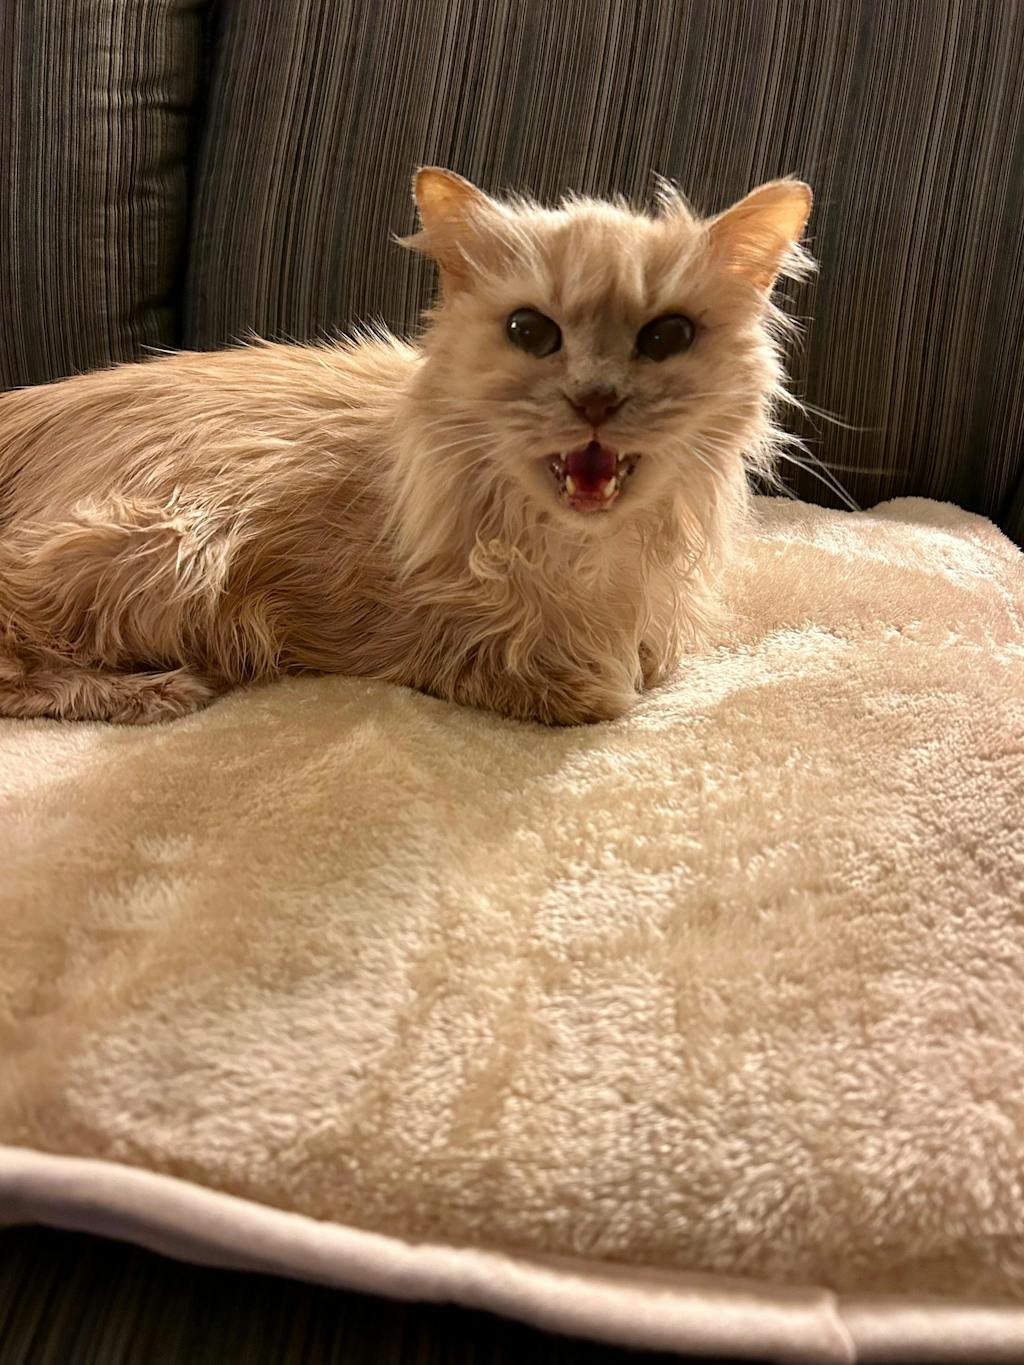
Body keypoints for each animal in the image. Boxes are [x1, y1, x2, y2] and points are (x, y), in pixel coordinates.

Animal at [0, 167, 811, 727]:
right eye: (530, 332)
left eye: (667, 337)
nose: (596, 399)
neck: (577, 554)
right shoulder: (418, 633)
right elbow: (586, 687)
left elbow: (654, 657)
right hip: (163, 542)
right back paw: (156, 689)